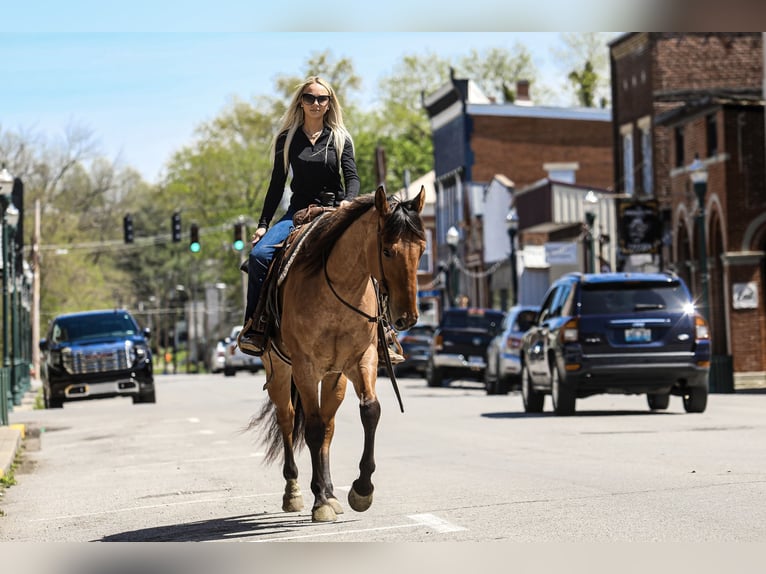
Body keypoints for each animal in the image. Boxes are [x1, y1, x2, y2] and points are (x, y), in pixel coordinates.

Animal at [252, 187, 428, 524]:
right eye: (387, 251)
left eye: (422, 250)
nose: (408, 318)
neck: (340, 288)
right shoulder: (305, 369)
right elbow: (312, 429)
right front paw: (319, 501)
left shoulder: (362, 359)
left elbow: (370, 411)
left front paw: (361, 490)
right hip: (279, 371)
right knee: (288, 420)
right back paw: (295, 492)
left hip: (335, 378)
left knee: (329, 426)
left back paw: (331, 492)